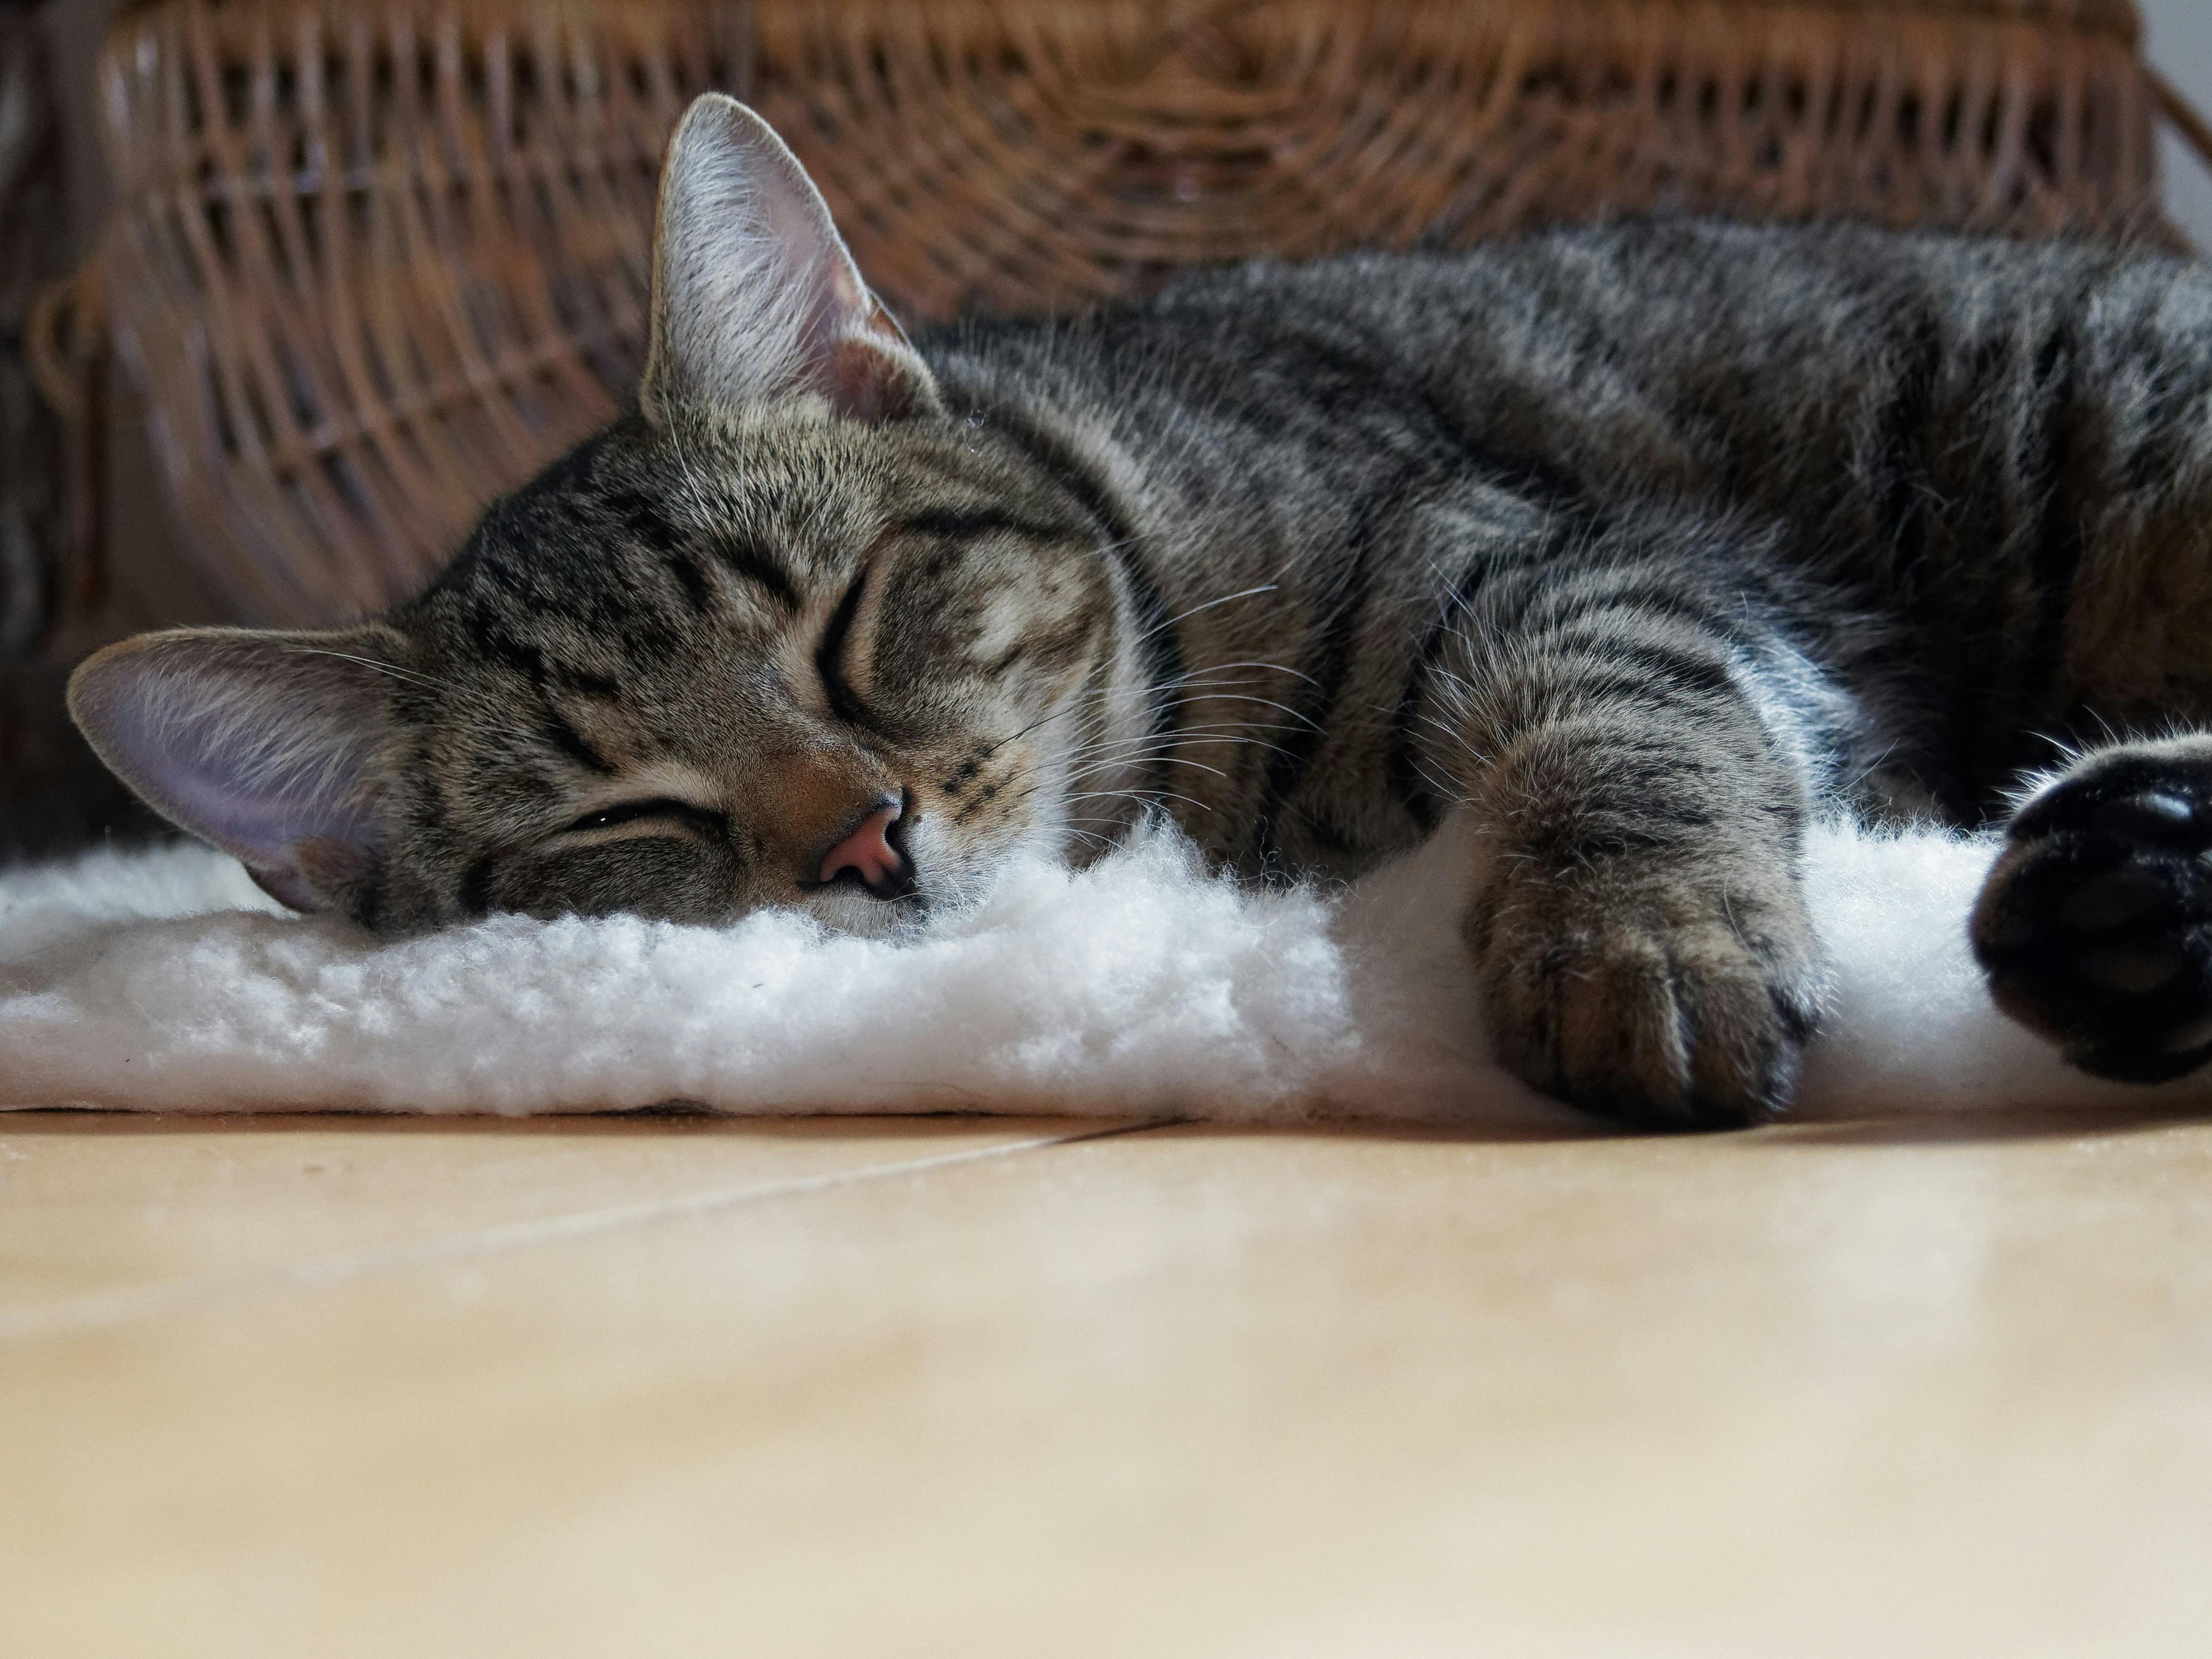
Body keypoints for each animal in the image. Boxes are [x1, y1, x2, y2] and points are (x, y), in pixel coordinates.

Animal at [60, 90, 2212, 1132]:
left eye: (845, 621)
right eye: (623, 816)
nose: (864, 841)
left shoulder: (1587, 565)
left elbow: (1615, 720)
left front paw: (1637, 940)